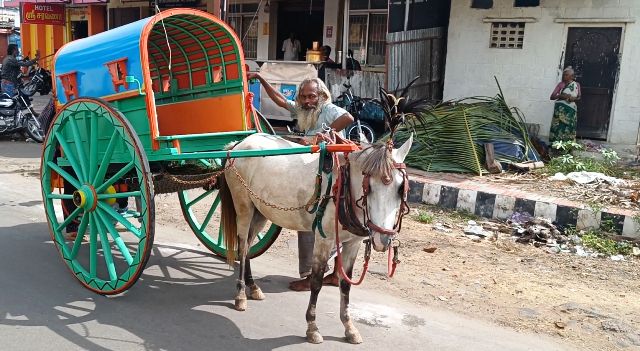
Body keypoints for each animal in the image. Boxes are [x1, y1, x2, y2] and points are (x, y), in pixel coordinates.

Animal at [218, 133, 412, 346]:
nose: (382, 239)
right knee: (242, 247)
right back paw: (240, 294)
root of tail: (240, 143)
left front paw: (349, 327)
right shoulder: (324, 239)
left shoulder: (353, 243)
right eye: (368, 186)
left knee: (248, 246)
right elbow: (317, 282)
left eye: (401, 188)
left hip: (261, 212)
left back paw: (252, 287)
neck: (344, 189)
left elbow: (345, 284)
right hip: (244, 207)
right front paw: (312, 327)